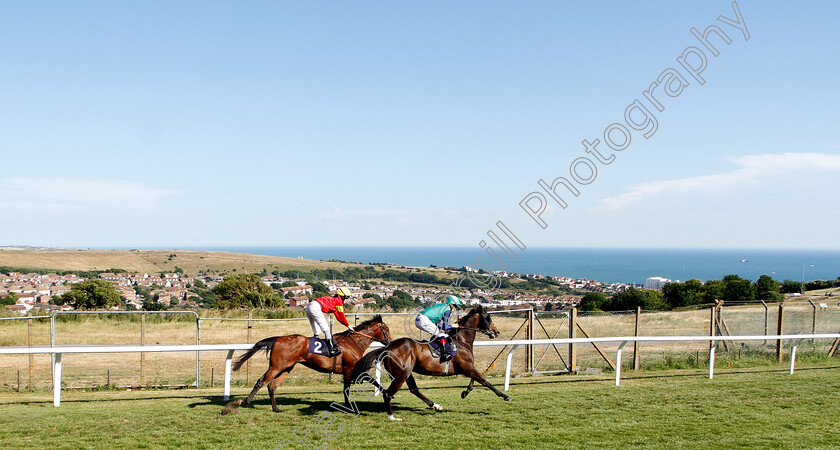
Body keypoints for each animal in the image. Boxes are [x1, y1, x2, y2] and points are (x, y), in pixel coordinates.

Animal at [225, 312, 392, 414]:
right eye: (387, 329)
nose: (389, 341)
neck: (353, 343)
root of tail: (278, 339)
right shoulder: (351, 369)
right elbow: (363, 383)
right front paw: (385, 393)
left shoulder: (350, 371)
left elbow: (349, 388)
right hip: (276, 366)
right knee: (261, 381)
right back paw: (245, 401)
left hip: (287, 368)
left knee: (272, 385)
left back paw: (276, 408)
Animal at [350, 306, 508, 422]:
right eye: (488, 318)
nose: (496, 332)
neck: (461, 341)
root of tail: (387, 347)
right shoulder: (468, 368)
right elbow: (485, 382)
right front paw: (505, 396)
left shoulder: (468, 368)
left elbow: (474, 381)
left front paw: (465, 392)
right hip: (401, 375)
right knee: (388, 394)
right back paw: (392, 417)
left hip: (407, 373)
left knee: (414, 389)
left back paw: (436, 405)